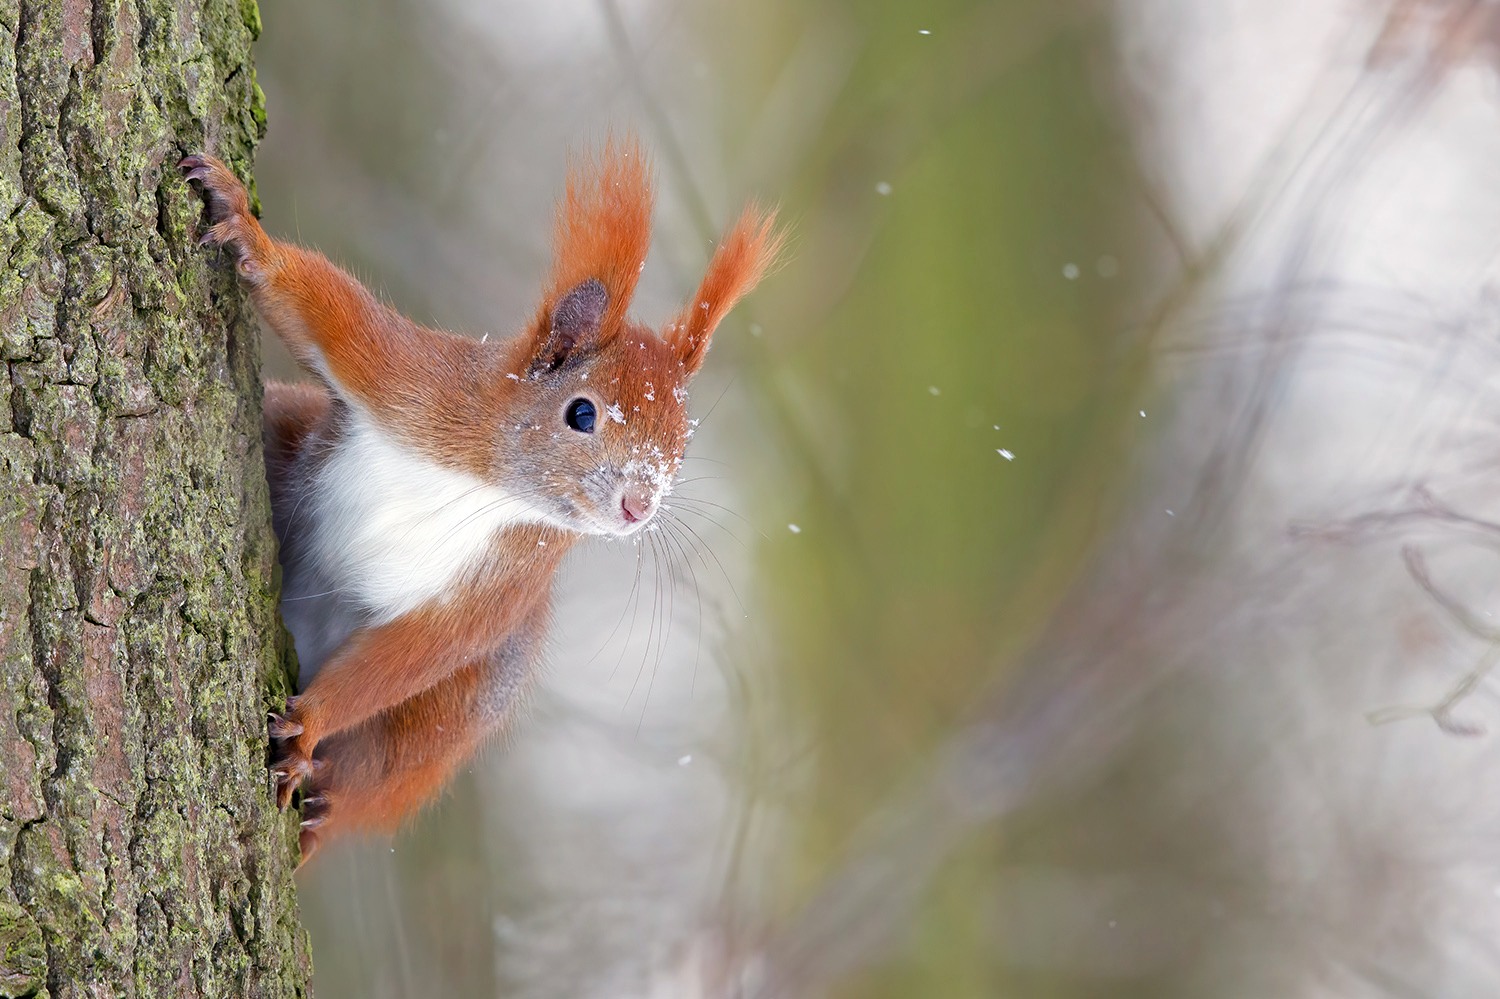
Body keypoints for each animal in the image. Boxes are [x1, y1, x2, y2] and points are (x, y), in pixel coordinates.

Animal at [181, 141, 780, 864]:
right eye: (582, 413)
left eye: (681, 446)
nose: (639, 505)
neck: (492, 489)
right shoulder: (418, 384)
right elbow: (332, 313)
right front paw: (245, 227)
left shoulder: (506, 583)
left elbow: (421, 651)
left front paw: (311, 724)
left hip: (460, 706)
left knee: (388, 762)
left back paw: (320, 807)